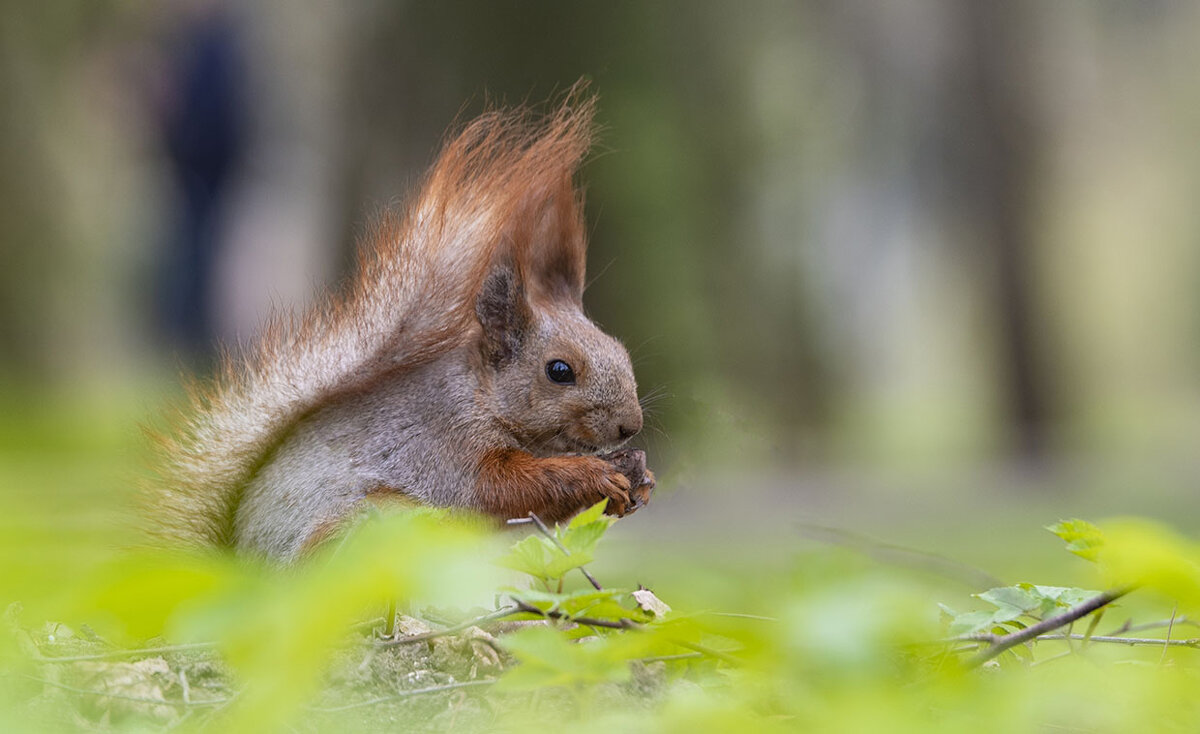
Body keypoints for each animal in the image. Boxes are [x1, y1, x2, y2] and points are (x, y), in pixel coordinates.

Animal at [151, 92, 662, 561]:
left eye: (620, 349)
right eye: (559, 371)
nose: (630, 426)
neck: (481, 394)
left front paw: (641, 478)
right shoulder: (444, 443)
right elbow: (503, 488)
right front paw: (596, 476)